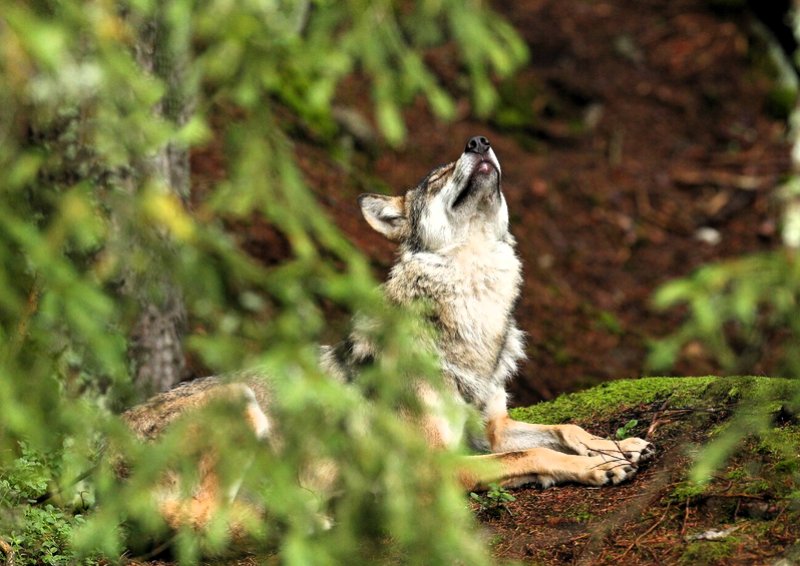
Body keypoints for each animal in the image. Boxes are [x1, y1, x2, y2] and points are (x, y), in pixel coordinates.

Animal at [122, 135, 654, 529]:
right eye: (436, 178)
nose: (478, 140)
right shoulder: (436, 464)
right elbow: (531, 453)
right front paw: (597, 466)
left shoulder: (491, 430)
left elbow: (561, 430)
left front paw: (617, 446)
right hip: (239, 402)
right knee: (201, 520)